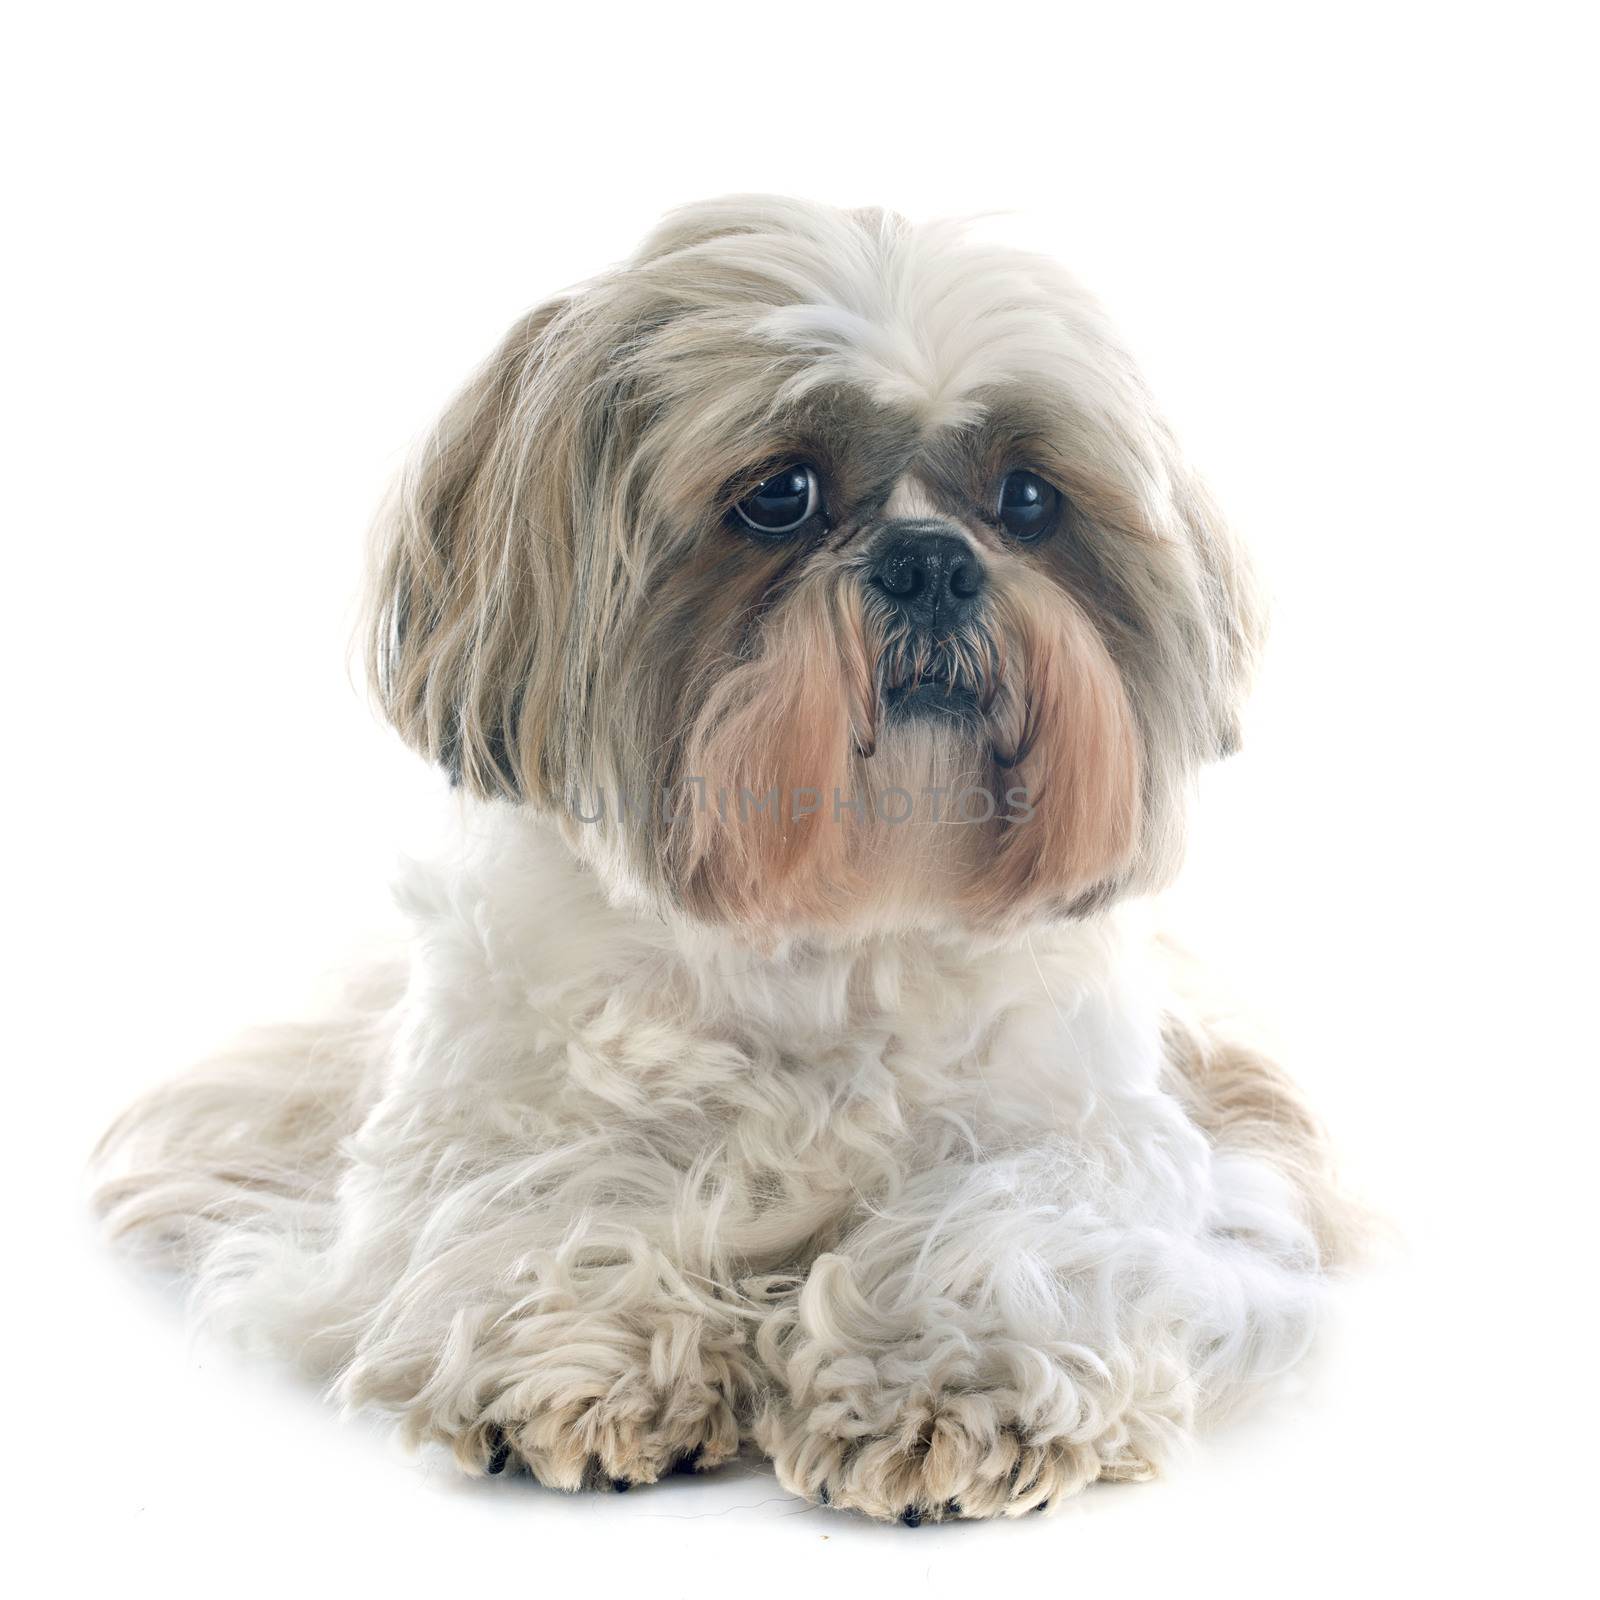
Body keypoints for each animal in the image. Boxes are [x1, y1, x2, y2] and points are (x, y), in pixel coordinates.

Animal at [96, 196, 1350, 1523]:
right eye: (780, 494)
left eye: (1025, 499)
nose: (932, 558)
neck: (822, 928)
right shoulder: (479, 1123)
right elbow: (546, 1195)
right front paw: (573, 1371)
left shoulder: (1115, 1143)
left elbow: (1012, 1225)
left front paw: (944, 1386)